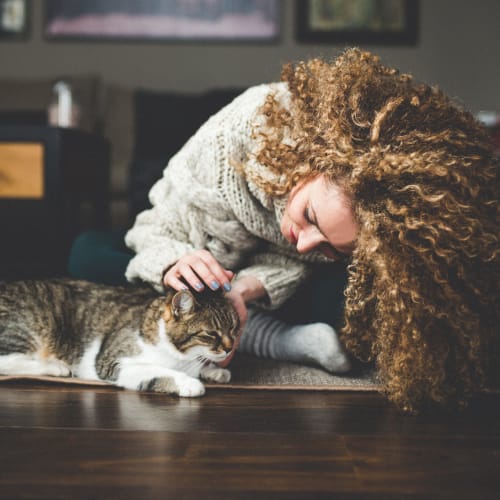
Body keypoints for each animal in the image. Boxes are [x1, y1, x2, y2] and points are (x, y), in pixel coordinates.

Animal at [0, 278, 240, 398]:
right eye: (211, 334)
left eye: (234, 328)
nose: (230, 349)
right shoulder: (112, 363)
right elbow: (159, 370)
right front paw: (188, 382)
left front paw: (213, 370)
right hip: (32, 324)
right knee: (6, 361)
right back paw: (55, 367)